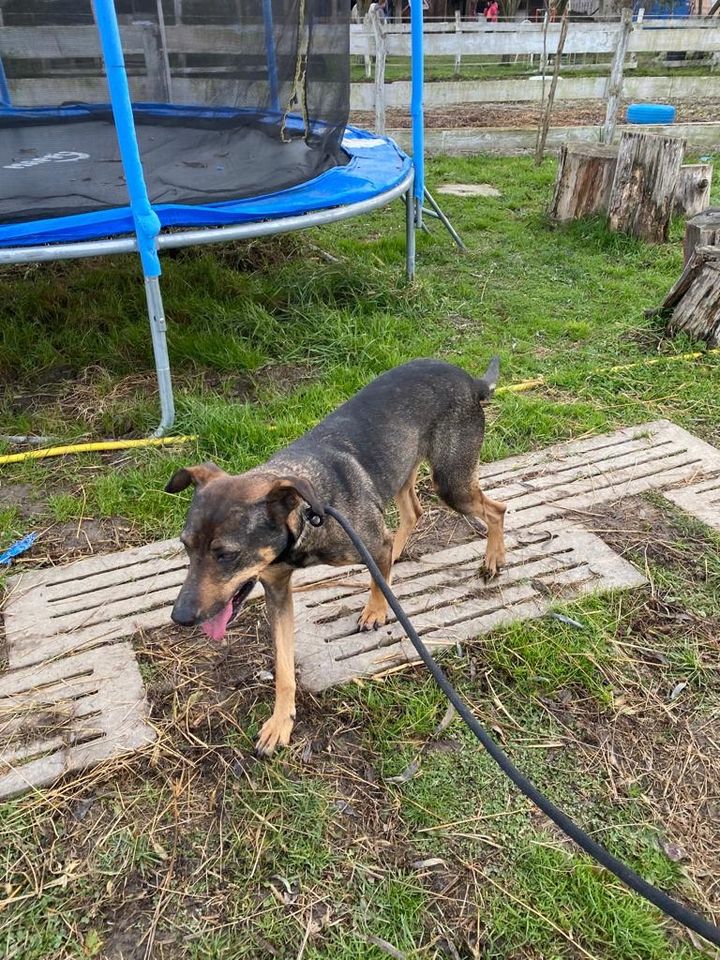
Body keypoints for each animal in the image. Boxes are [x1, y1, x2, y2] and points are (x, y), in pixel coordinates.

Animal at [167, 356, 510, 752]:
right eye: (186, 546)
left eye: (226, 554)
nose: (180, 617)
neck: (305, 516)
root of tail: (468, 379)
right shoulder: (277, 592)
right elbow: (283, 667)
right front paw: (280, 721)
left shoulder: (366, 542)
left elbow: (376, 574)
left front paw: (375, 610)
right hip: (403, 467)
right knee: (413, 512)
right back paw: (399, 554)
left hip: (451, 483)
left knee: (496, 510)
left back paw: (492, 560)